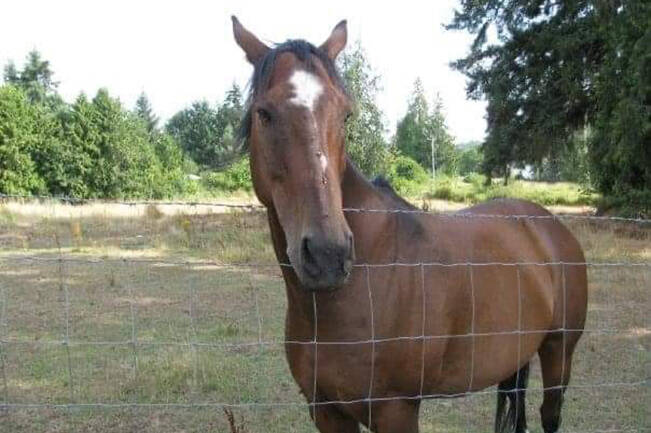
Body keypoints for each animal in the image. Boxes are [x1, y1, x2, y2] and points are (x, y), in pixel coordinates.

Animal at [231, 17, 588, 433]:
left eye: (345, 114)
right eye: (264, 113)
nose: (327, 254)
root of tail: (548, 227)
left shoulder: (395, 410)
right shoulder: (326, 410)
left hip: (559, 352)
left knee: (551, 413)